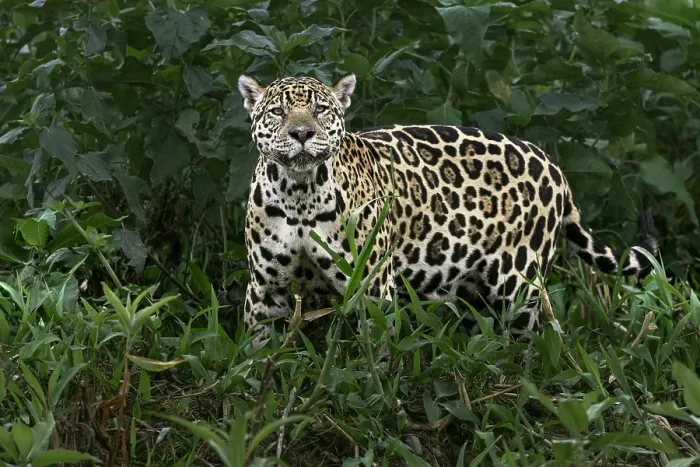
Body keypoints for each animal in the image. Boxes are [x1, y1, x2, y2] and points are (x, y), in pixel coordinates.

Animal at [237, 73, 658, 341]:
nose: (302, 133)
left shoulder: (371, 288)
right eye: (277, 112)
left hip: (518, 284)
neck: (299, 193)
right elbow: (256, 354)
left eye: (321, 110)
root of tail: (552, 166)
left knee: (532, 338)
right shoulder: (266, 292)